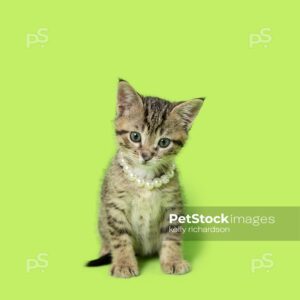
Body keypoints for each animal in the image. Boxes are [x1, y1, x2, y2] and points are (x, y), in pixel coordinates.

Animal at [86, 80, 204, 278]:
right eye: (135, 136)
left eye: (164, 142)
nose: (146, 155)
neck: (145, 179)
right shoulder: (115, 206)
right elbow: (120, 238)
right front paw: (124, 263)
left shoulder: (172, 205)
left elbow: (172, 237)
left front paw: (173, 260)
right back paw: (106, 250)